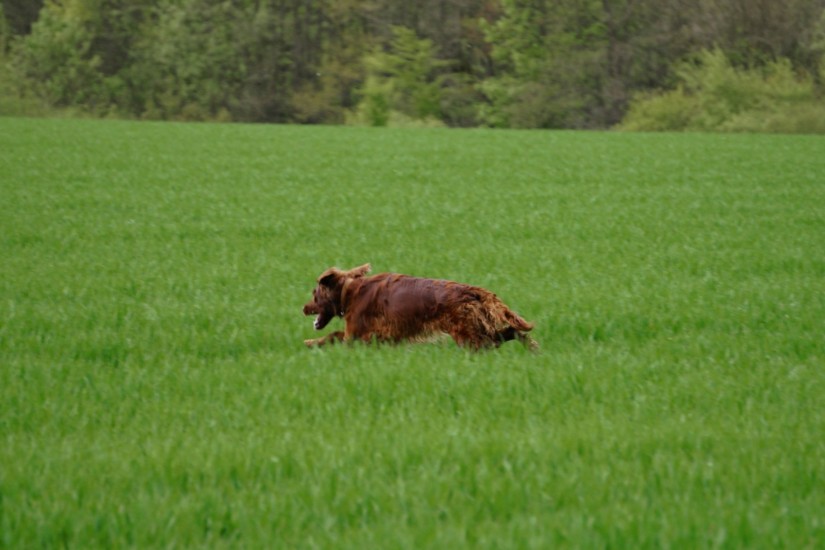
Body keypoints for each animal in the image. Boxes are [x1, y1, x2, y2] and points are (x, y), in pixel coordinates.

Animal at [302, 264, 537, 350]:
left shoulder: (355, 335)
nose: (303, 308)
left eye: (314, 294)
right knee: (509, 333)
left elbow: (332, 335)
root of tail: (473, 291)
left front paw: (310, 342)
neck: (350, 291)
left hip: (468, 336)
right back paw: (533, 348)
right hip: (478, 330)